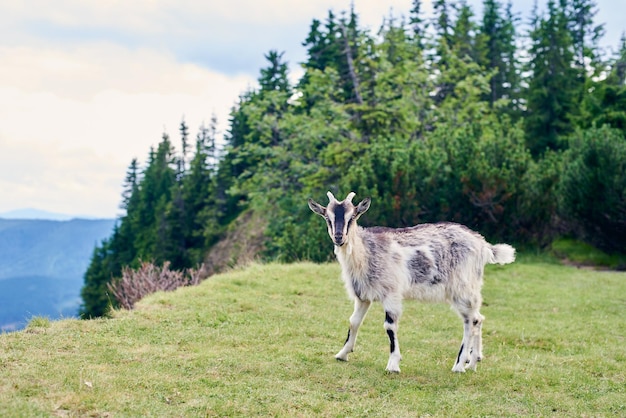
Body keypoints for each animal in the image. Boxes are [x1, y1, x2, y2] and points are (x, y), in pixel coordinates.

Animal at [304, 192, 516, 372]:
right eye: (327, 217)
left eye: (353, 216)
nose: (339, 237)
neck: (366, 252)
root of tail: (483, 245)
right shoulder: (363, 295)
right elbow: (354, 322)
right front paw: (342, 354)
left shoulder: (391, 293)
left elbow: (389, 326)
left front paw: (393, 364)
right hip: (470, 288)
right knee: (478, 318)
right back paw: (473, 362)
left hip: (461, 288)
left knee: (470, 321)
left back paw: (459, 365)